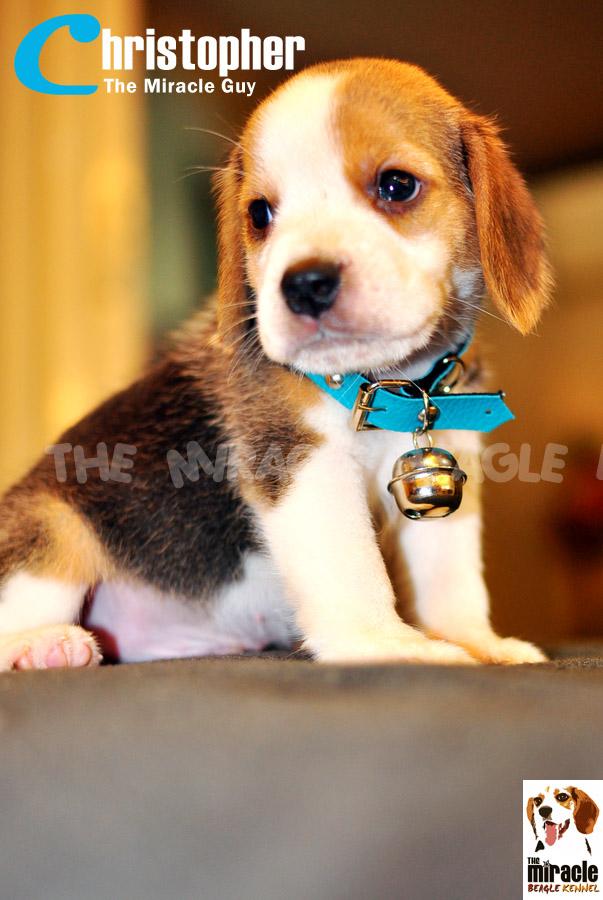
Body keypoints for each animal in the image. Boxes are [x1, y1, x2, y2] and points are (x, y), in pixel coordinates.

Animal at [0, 58, 552, 671]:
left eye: (396, 185)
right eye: (260, 214)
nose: (305, 285)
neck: (389, 383)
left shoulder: (449, 461)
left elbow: (450, 577)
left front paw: (472, 639)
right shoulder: (300, 461)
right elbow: (352, 567)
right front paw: (388, 644)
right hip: (54, 530)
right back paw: (45, 646)